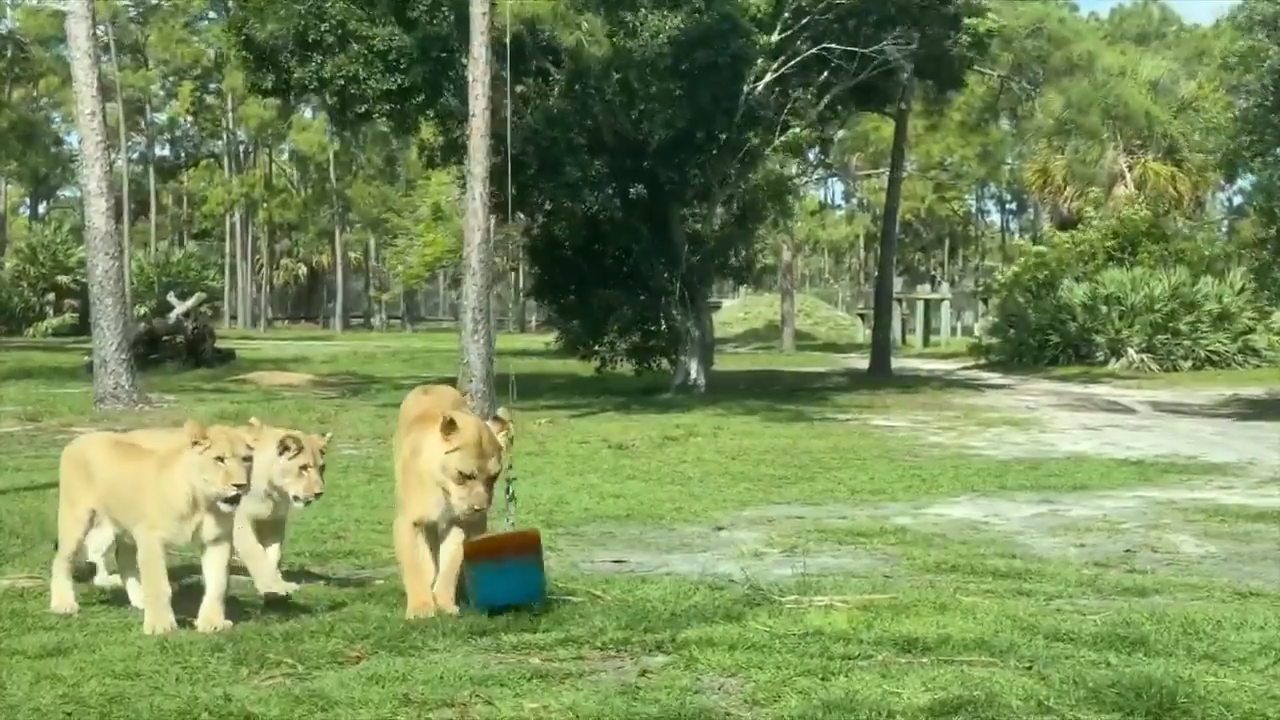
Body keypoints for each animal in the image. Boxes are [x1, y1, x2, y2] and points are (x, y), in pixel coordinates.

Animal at [49, 420, 251, 635]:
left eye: (247, 459)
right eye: (219, 459)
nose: (240, 485)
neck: (202, 504)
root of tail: (78, 439)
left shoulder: (217, 541)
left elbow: (217, 585)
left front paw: (212, 622)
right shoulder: (152, 538)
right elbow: (158, 584)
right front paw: (160, 625)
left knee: (123, 559)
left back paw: (140, 600)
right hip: (76, 516)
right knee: (62, 559)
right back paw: (63, 605)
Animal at [393, 384, 514, 619]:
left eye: (494, 476)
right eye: (464, 475)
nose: (480, 508)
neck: (443, 490)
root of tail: (431, 385)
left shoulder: (460, 523)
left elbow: (451, 565)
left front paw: (445, 604)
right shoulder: (408, 522)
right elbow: (415, 566)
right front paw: (421, 608)